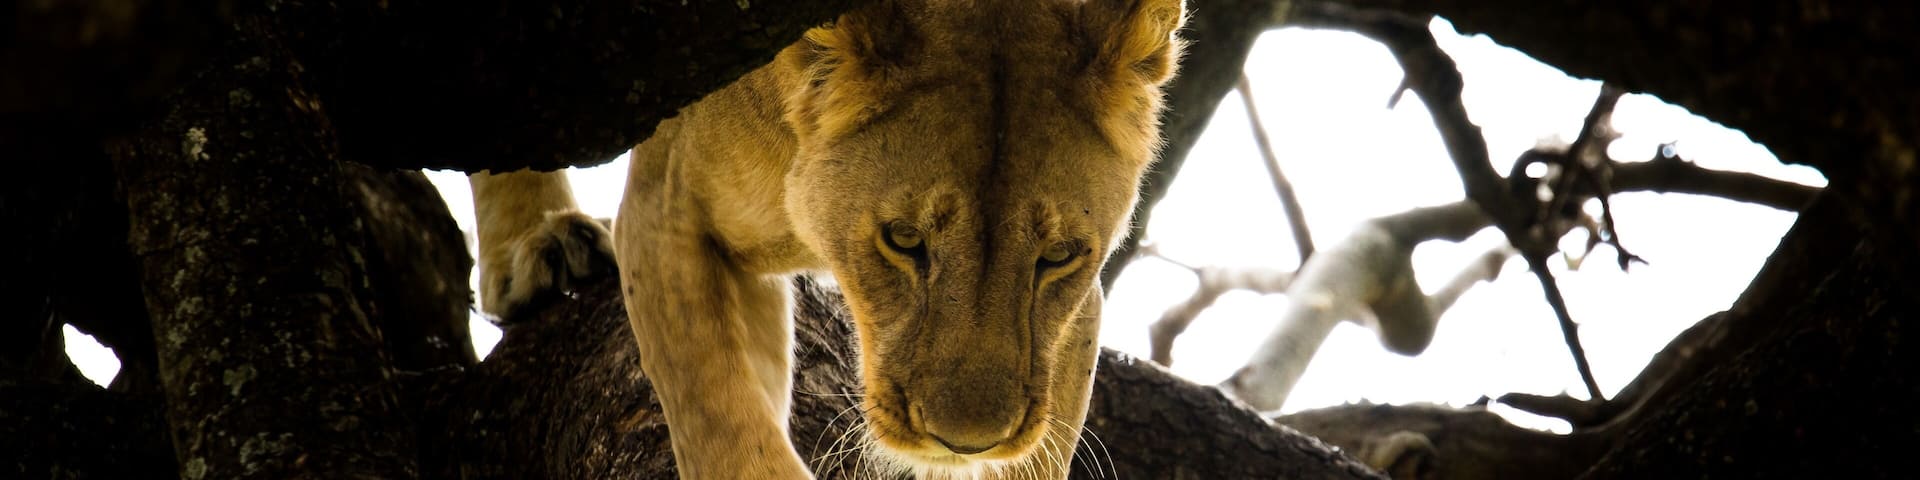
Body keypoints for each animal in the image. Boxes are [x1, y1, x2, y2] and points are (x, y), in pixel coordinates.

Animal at [467, 0, 1185, 478]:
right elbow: (722, 422)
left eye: (1059, 256)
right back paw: (544, 245)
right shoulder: (667, 206)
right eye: (903, 239)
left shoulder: (1075, 320)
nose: (966, 444)